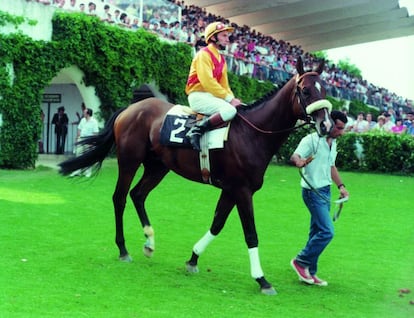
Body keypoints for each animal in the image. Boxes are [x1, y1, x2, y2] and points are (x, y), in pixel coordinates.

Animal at [59, 56, 334, 296]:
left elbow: (217, 224)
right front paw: (262, 280)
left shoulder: (231, 189)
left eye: (324, 91)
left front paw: (192, 259)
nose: (326, 125)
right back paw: (123, 249)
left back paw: (149, 242)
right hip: (129, 161)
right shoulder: (242, 190)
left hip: (158, 167)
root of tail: (132, 107)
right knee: (120, 198)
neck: (252, 133)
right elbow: (251, 233)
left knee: (138, 194)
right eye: (306, 90)